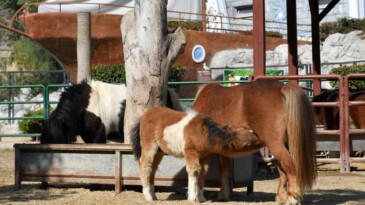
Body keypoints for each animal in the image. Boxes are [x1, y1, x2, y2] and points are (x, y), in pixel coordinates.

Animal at [130, 106, 258, 203]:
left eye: (246, 130)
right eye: (248, 144)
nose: (258, 135)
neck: (203, 133)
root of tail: (144, 116)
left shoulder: (206, 156)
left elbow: (202, 173)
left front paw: (201, 198)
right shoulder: (190, 152)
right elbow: (194, 171)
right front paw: (192, 198)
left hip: (160, 151)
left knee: (153, 169)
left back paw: (154, 196)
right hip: (150, 146)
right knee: (145, 166)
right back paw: (148, 197)